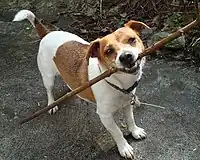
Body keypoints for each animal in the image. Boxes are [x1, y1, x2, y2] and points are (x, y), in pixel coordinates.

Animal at [13, 10, 149, 159]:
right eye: (108, 51)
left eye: (131, 40)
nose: (126, 56)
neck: (118, 83)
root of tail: (47, 33)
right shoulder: (105, 116)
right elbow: (117, 131)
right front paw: (124, 147)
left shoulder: (127, 105)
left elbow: (130, 119)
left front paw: (135, 131)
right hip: (48, 77)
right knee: (49, 90)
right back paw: (51, 104)